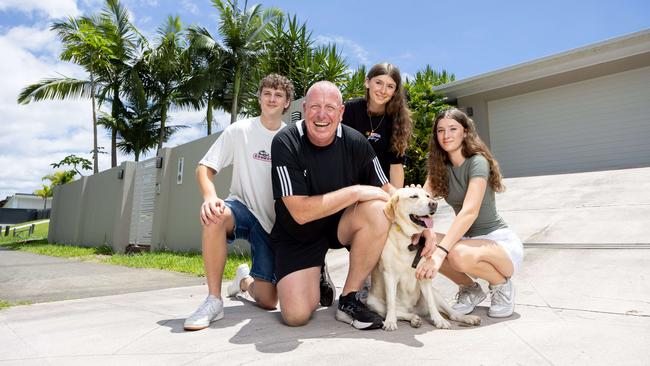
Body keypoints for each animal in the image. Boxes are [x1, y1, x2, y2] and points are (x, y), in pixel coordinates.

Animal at [368, 187, 478, 330]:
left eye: (428, 196)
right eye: (414, 196)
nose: (434, 204)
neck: (409, 240)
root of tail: (412, 309)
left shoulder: (424, 275)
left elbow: (431, 303)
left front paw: (439, 320)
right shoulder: (390, 275)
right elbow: (391, 303)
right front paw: (390, 321)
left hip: (436, 293)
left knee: (452, 313)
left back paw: (468, 318)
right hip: (372, 303)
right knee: (398, 312)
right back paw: (413, 318)